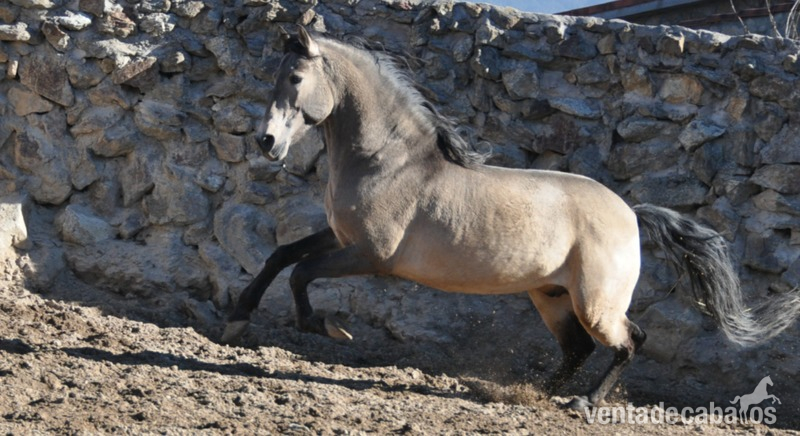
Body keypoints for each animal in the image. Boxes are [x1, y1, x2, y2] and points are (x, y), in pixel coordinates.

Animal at [222, 26, 800, 410]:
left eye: (296, 78)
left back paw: (583, 404)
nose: (266, 142)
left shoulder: (370, 254)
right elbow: (281, 256)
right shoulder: (340, 238)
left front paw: (327, 327)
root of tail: (631, 214)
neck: (388, 160)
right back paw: (526, 393)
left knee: (629, 340)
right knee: (577, 349)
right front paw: (238, 318)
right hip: (550, 295)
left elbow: (301, 274)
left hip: (595, 302)